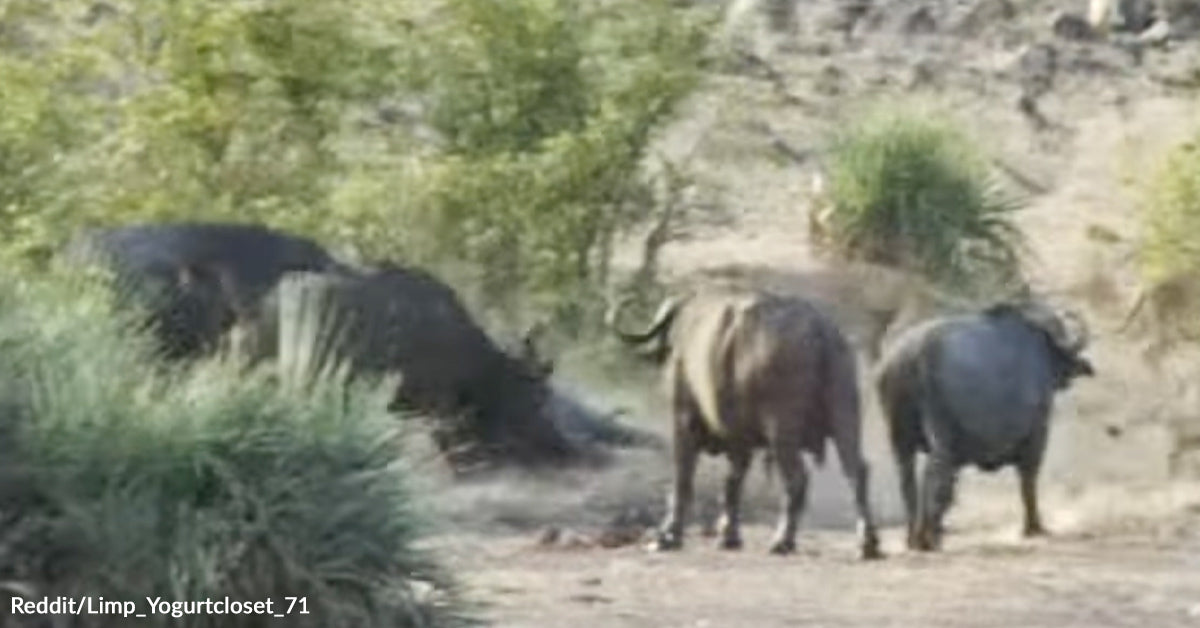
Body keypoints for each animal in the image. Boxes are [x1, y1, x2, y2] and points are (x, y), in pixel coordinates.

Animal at [609, 288, 882, 558]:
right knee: (856, 471)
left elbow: (683, 481)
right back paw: (867, 542)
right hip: (845, 415)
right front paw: (728, 536)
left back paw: (782, 541)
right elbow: (732, 485)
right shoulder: (739, 440)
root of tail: (820, 331)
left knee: (796, 479)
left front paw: (667, 536)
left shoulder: (684, 421)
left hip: (782, 430)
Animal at [874, 298, 1094, 551]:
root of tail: (908, 357)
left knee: (908, 481)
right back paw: (927, 538)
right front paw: (1033, 528)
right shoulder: (1037, 435)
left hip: (899, 438)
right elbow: (1028, 481)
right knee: (934, 476)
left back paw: (914, 537)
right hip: (940, 433)